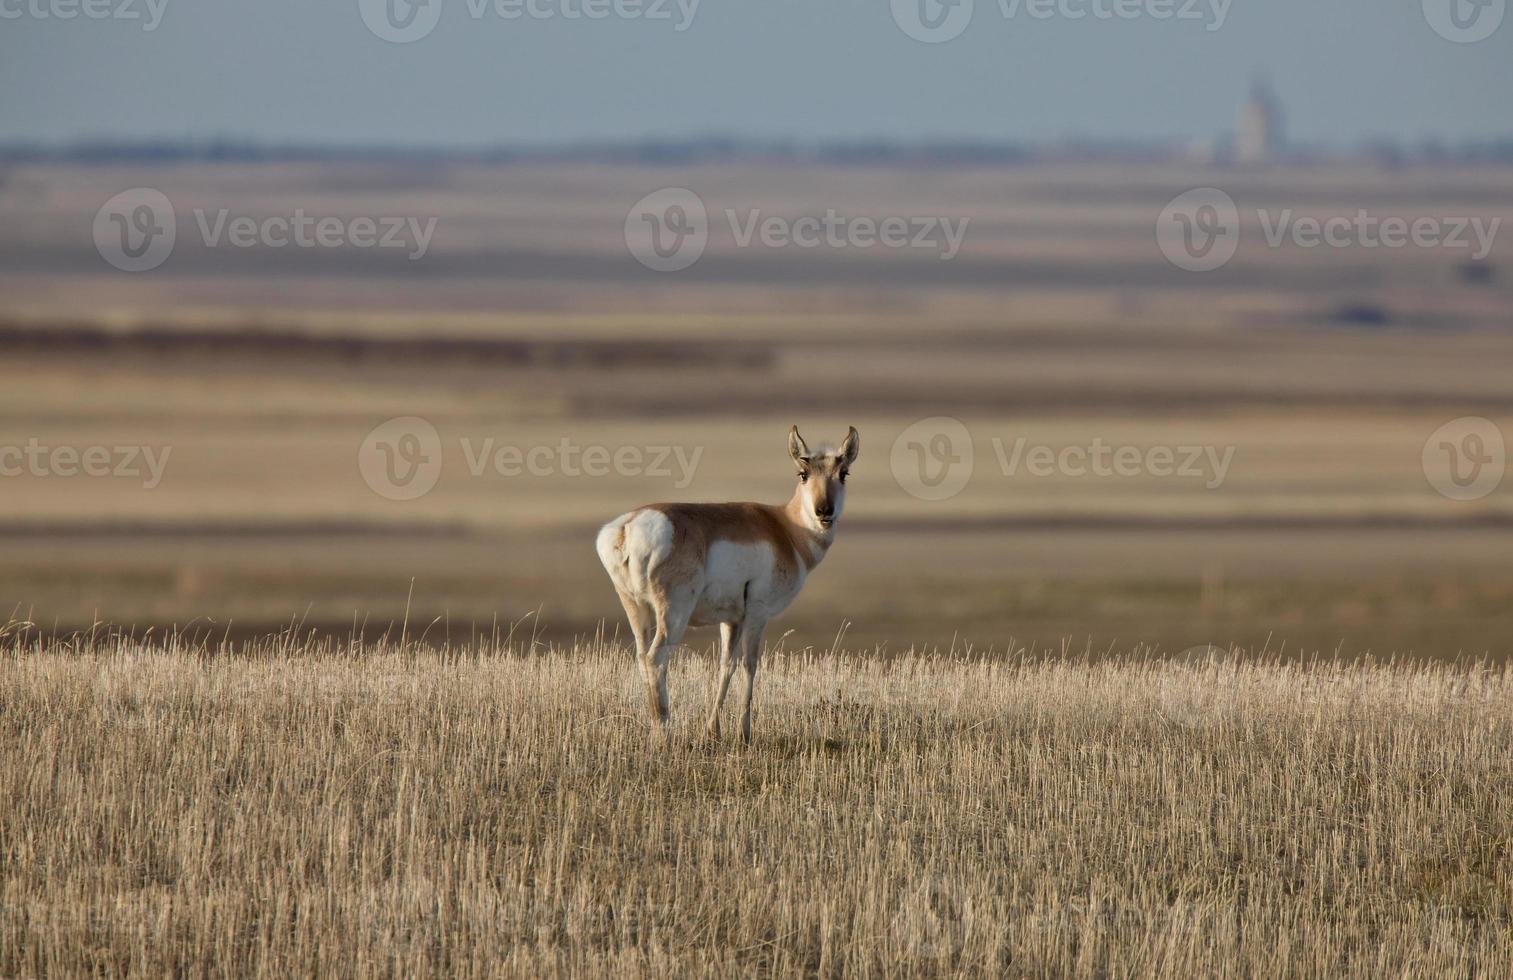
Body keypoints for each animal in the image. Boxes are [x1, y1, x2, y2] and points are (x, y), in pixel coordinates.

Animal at [593, 423, 859, 738]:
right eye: (803, 473)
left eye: (843, 473)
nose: (824, 511)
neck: (784, 528)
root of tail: (628, 526)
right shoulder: (757, 613)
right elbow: (750, 664)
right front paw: (745, 732)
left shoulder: (731, 620)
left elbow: (726, 666)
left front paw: (713, 729)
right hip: (673, 612)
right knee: (656, 658)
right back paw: (664, 734)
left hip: (635, 607)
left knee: (642, 656)